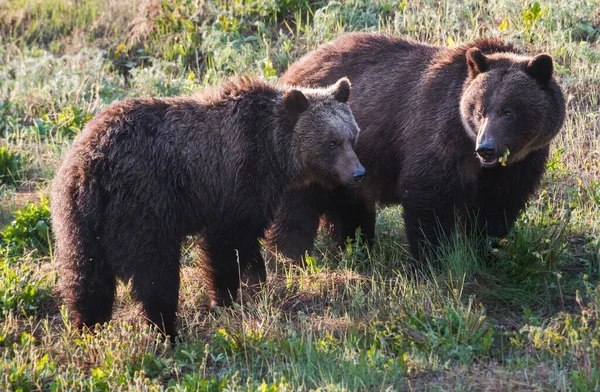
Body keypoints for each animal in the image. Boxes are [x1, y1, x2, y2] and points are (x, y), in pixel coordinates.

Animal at [51, 76, 364, 336]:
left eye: (352, 136)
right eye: (332, 142)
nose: (358, 172)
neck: (275, 152)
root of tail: (92, 164)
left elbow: (248, 245)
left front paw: (257, 284)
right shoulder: (236, 182)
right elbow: (226, 247)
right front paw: (225, 299)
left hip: (77, 218)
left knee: (87, 278)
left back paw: (86, 326)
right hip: (143, 204)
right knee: (156, 273)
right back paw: (167, 329)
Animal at [270, 33, 564, 266]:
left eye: (508, 111)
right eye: (479, 110)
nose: (486, 148)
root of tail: (293, 68)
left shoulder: (521, 163)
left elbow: (498, 207)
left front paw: (485, 251)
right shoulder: (438, 136)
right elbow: (428, 196)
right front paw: (433, 260)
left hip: (344, 170)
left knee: (350, 209)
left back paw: (357, 248)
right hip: (312, 153)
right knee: (296, 209)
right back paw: (290, 256)